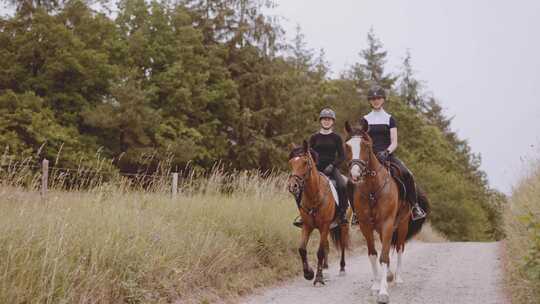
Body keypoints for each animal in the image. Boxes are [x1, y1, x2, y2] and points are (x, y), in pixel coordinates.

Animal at [286, 140, 350, 284]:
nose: (293, 186)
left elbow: (319, 252)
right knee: (326, 245)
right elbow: (302, 249)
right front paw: (308, 273)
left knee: (342, 244)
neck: (314, 195)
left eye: (305, 162)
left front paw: (318, 278)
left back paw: (342, 268)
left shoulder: (324, 225)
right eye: (291, 162)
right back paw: (325, 267)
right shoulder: (307, 226)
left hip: (343, 225)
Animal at [344, 119, 428, 304]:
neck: (372, 189)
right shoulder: (366, 225)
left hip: (402, 225)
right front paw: (376, 286)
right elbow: (373, 254)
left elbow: (384, 256)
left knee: (399, 248)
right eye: (347, 145)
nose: (355, 174)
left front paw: (383, 293)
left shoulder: (388, 223)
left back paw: (397, 278)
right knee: (387, 248)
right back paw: (388, 276)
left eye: (366, 145)